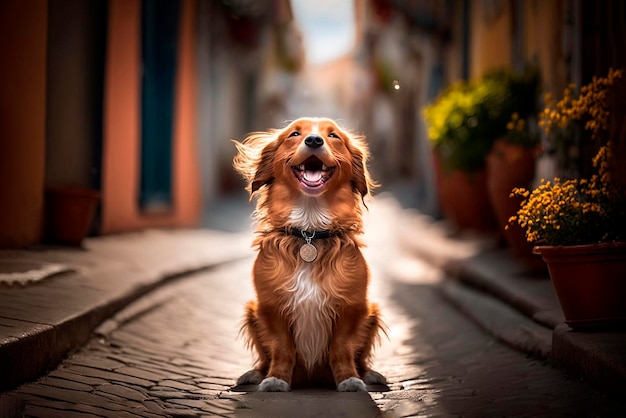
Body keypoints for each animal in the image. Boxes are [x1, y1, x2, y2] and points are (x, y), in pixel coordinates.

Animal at [232, 116, 382, 392]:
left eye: (333, 136)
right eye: (294, 134)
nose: (314, 140)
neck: (309, 230)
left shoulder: (350, 307)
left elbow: (342, 349)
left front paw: (349, 379)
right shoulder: (271, 307)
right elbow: (282, 349)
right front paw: (276, 378)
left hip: (373, 311)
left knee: (361, 358)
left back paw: (369, 374)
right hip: (251, 311)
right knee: (264, 358)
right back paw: (256, 373)